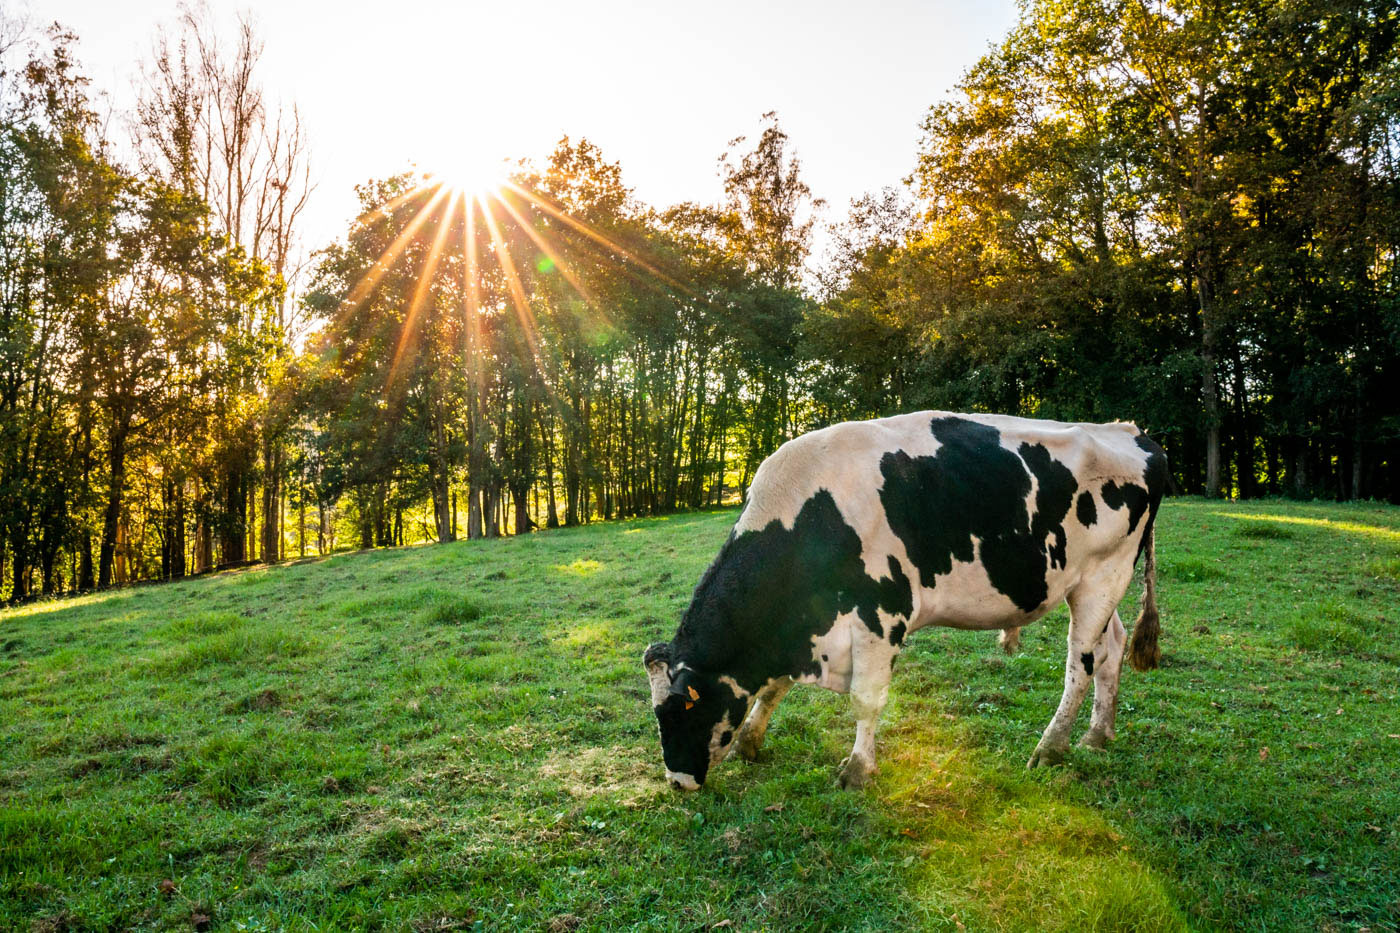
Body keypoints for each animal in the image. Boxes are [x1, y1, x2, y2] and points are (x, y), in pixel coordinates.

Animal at [643, 411, 1167, 791]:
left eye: (679, 711)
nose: (677, 782)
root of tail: (1127, 430)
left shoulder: (881, 615)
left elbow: (865, 699)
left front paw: (857, 769)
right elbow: (773, 688)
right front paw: (750, 742)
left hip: (1103, 576)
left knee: (1080, 663)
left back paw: (1052, 747)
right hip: (1096, 585)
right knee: (1111, 648)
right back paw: (1097, 736)